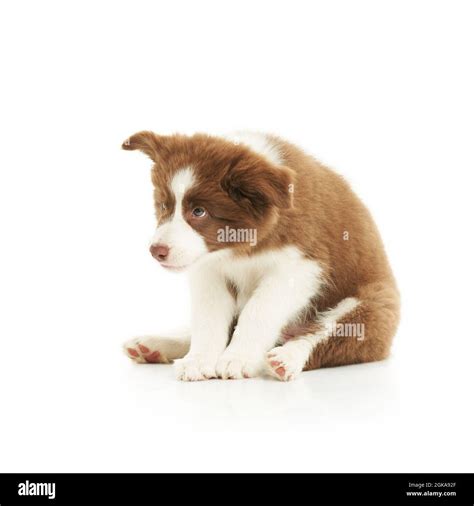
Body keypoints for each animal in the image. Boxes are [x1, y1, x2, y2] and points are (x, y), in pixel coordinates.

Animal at [123, 132, 400, 382]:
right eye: (163, 206)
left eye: (199, 211)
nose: (156, 251)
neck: (237, 249)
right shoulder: (208, 269)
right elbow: (208, 318)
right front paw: (198, 360)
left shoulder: (301, 267)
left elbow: (259, 309)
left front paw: (238, 358)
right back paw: (153, 345)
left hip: (373, 305)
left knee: (326, 333)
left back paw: (286, 358)